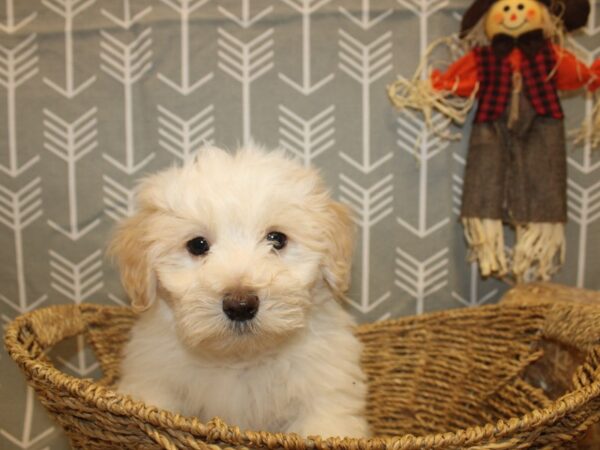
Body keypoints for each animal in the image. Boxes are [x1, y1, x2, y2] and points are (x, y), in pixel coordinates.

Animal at [109, 146, 370, 438]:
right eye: (198, 245)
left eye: (276, 239)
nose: (241, 305)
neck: (241, 359)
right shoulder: (153, 381)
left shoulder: (326, 397)